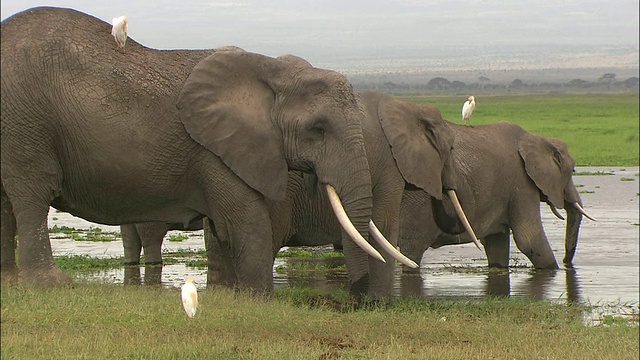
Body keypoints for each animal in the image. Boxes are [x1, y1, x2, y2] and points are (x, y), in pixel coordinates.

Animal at [1, 6, 416, 290]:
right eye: (318, 129)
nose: (358, 293)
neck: (272, 72)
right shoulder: (217, 153)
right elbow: (246, 225)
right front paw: (257, 299)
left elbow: (223, 231)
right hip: (25, 122)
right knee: (31, 194)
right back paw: (50, 285)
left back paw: (8, 281)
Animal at [398, 119, 592, 272]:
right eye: (573, 171)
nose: (567, 262)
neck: (535, 138)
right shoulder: (521, 183)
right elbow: (530, 239)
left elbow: (496, 243)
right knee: (412, 250)